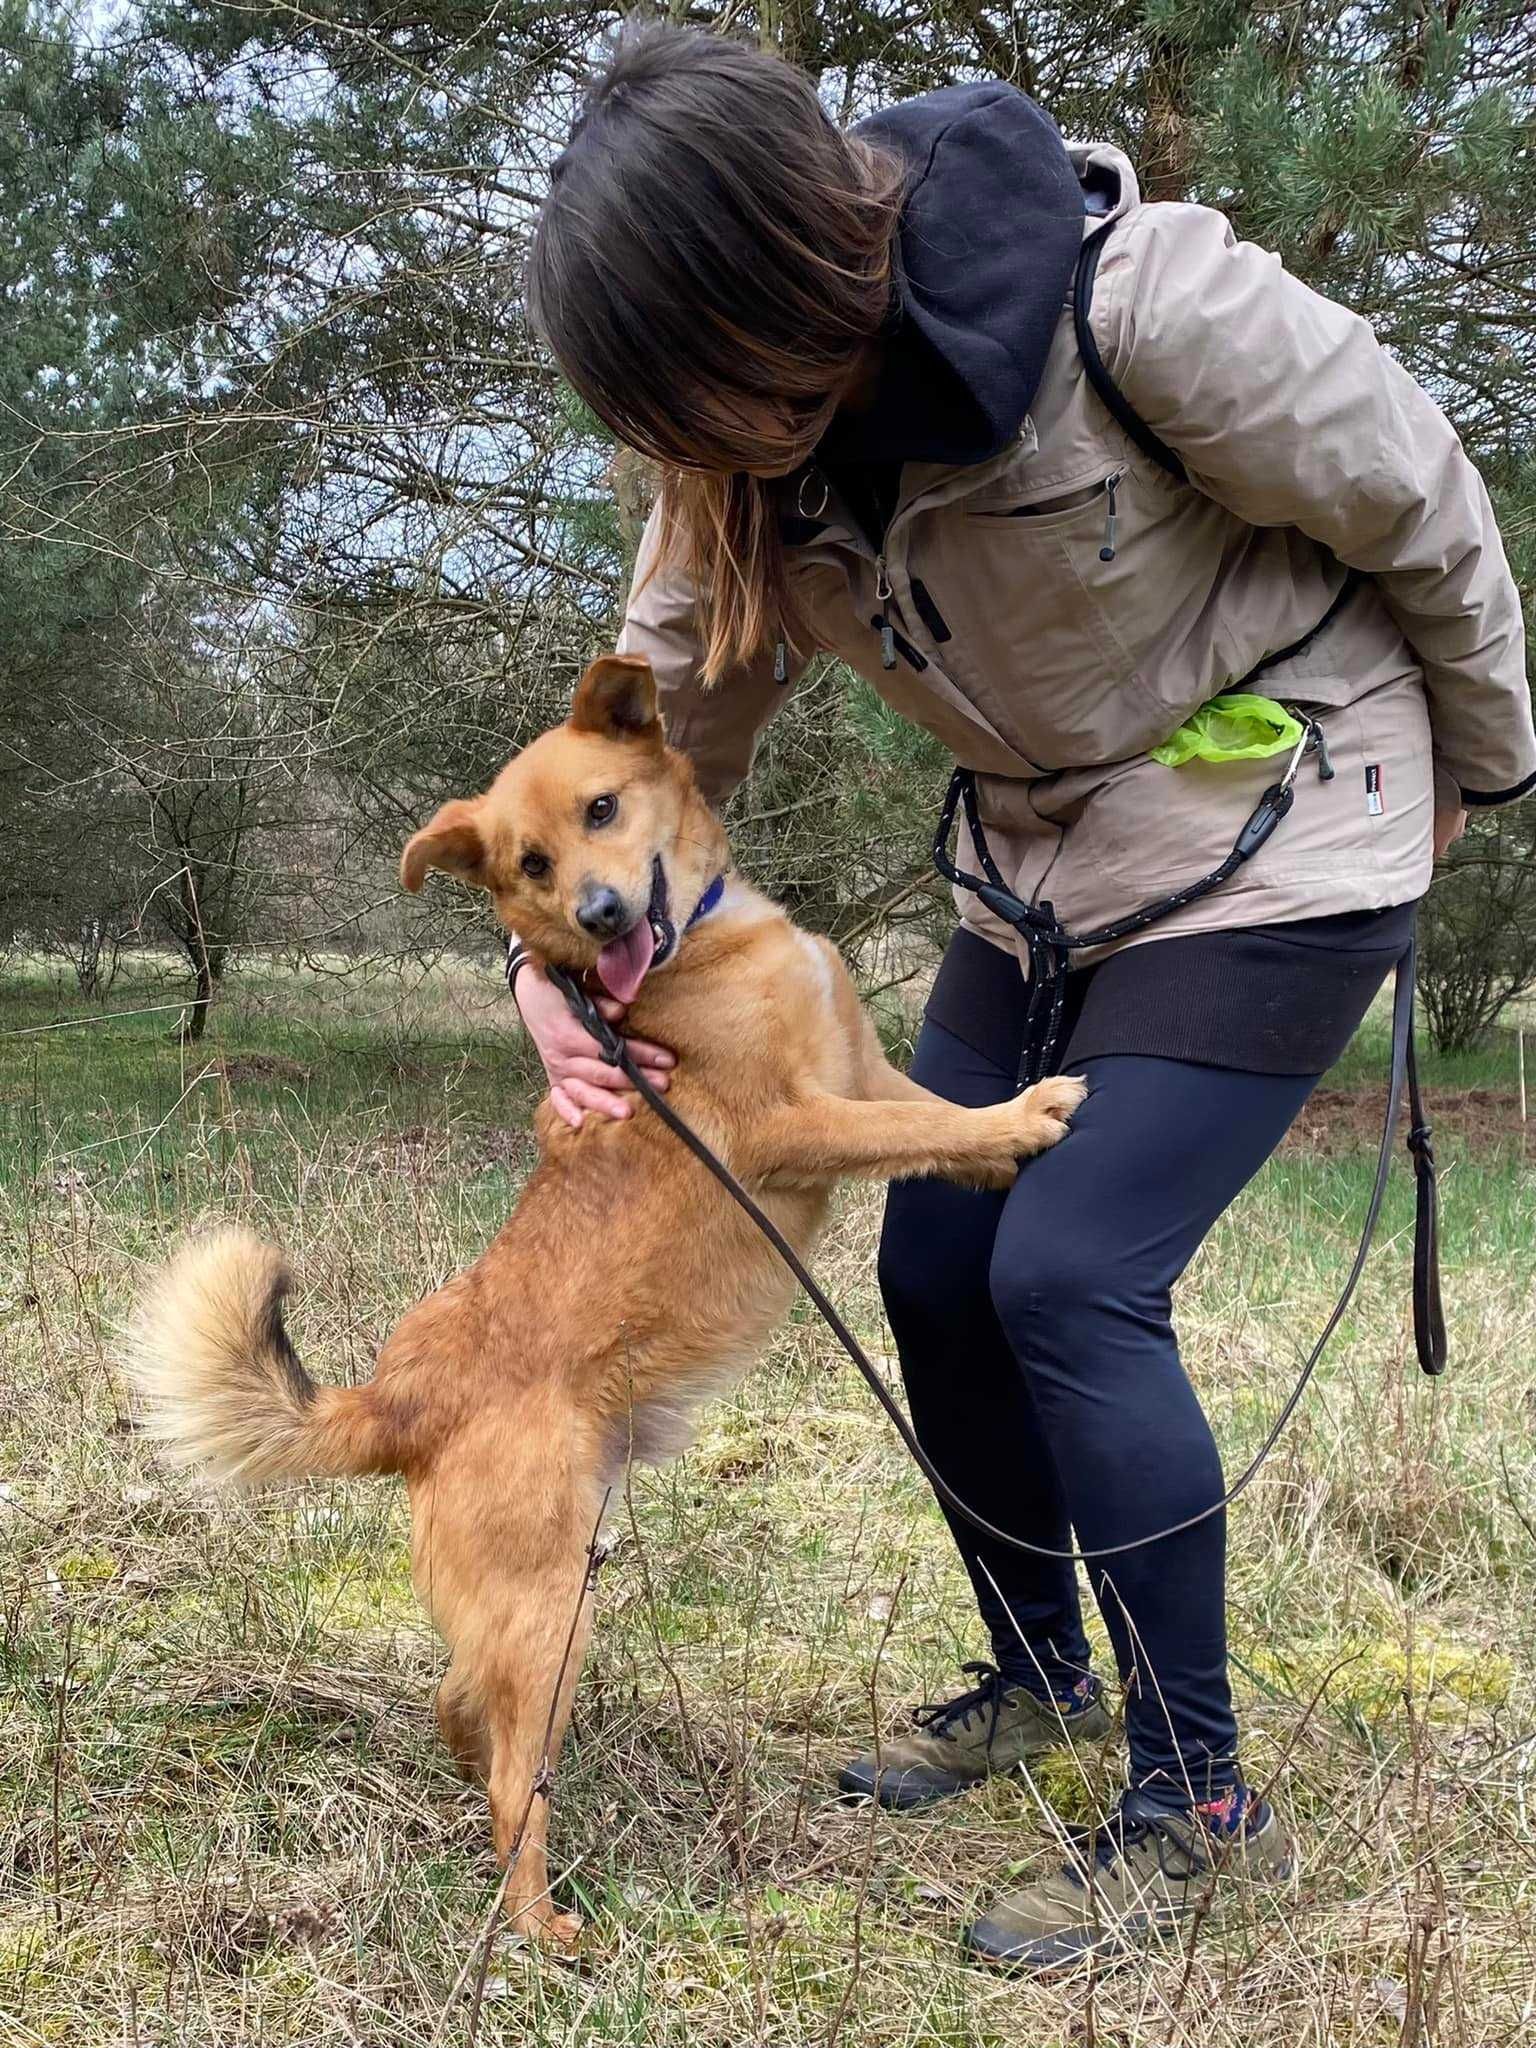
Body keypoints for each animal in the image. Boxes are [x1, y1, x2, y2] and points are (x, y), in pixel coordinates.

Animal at [126, 655, 1089, 1949]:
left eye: (601, 810)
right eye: (528, 862)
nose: (596, 919)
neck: (702, 952)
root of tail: (397, 1398)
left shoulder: (866, 1074)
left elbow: (929, 1116)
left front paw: (996, 1141)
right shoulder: (800, 1122)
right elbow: (923, 1128)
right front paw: (1022, 1119)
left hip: (538, 1608)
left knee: (462, 1703)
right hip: (552, 1614)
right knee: (506, 1788)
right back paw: (541, 1929)